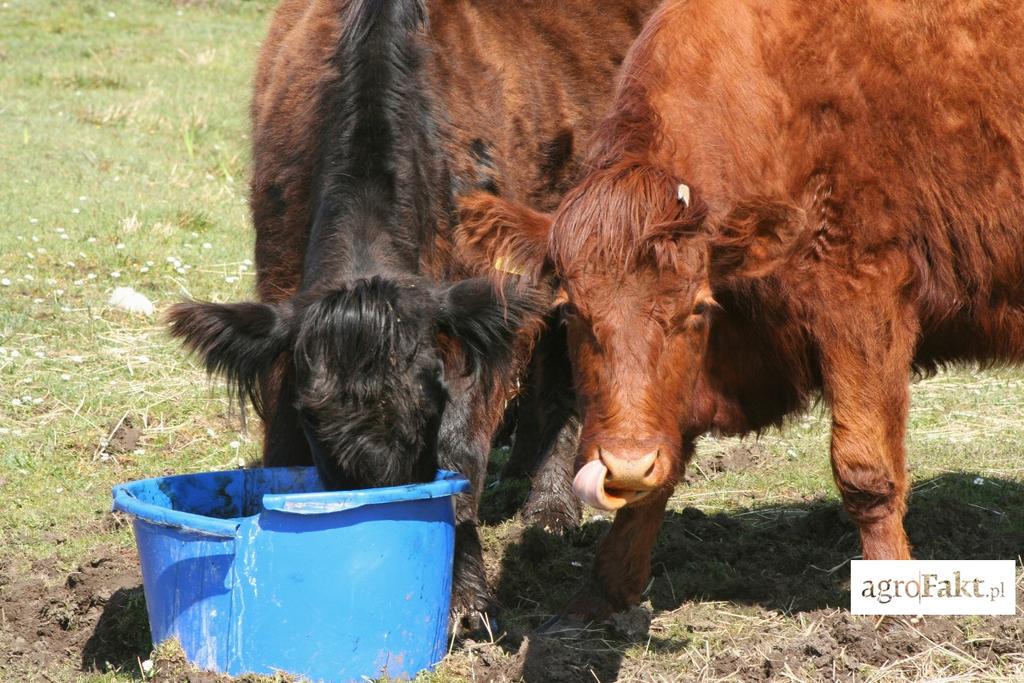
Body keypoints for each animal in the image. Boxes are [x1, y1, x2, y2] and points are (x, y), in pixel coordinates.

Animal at [454, 0, 1024, 618]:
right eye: (571, 313)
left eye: (697, 309)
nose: (625, 464)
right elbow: (661, 469)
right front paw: (603, 594)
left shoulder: (863, 294)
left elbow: (864, 468)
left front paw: (893, 602)